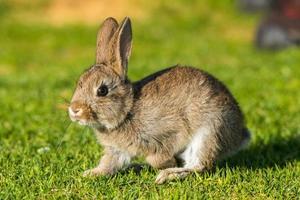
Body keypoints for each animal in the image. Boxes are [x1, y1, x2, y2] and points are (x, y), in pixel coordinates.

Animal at [68, 17, 251, 184]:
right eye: (79, 83)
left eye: (102, 90)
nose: (74, 110)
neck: (128, 110)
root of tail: (239, 136)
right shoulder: (117, 151)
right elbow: (108, 164)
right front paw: (90, 174)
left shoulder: (171, 132)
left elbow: (158, 157)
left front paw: (167, 165)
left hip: (209, 133)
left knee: (199, 166)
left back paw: (168, 175)